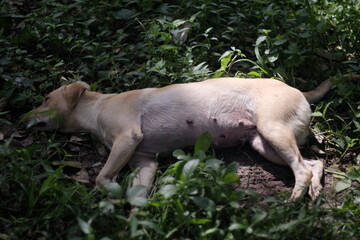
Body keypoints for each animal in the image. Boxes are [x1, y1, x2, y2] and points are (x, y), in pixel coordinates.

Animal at [23, 75, 358, 201]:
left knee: (302, 169)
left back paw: (293, 201)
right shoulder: (144, 161)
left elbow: (102, 177)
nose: (20, 120)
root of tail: (299, 90)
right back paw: (314, 191)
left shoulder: (128, 138)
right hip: (264, 144)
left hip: (273, 132)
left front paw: (115, 192)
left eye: (46, 98)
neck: (97, 109)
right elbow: (137, 194)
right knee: (313, 163)